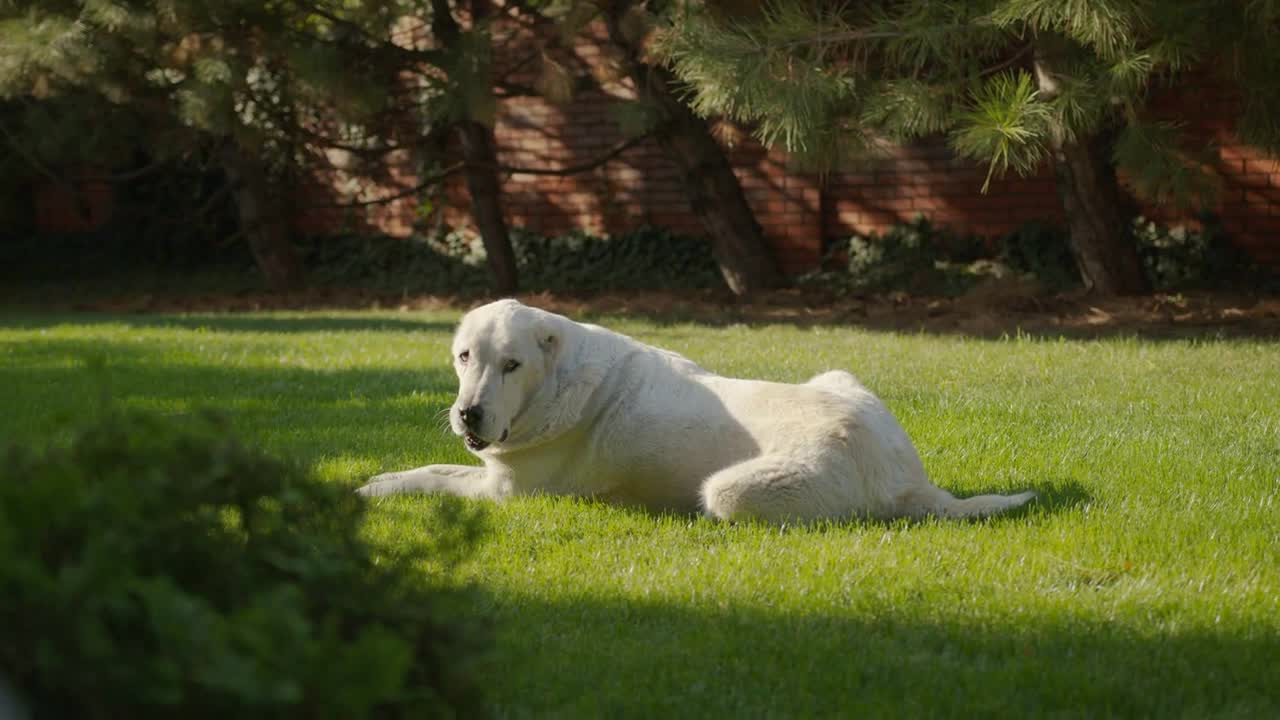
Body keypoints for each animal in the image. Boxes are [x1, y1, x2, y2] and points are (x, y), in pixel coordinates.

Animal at [355, 298, 1034, 520]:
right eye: (464, 357)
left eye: (512, 365)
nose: (468, 414)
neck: (555, 381)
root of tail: (908, 481)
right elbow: (431, 468)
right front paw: (376, 478)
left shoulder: (506, 493)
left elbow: (438, 480)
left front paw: (376, 491)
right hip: (841, 377)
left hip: (730, 491)